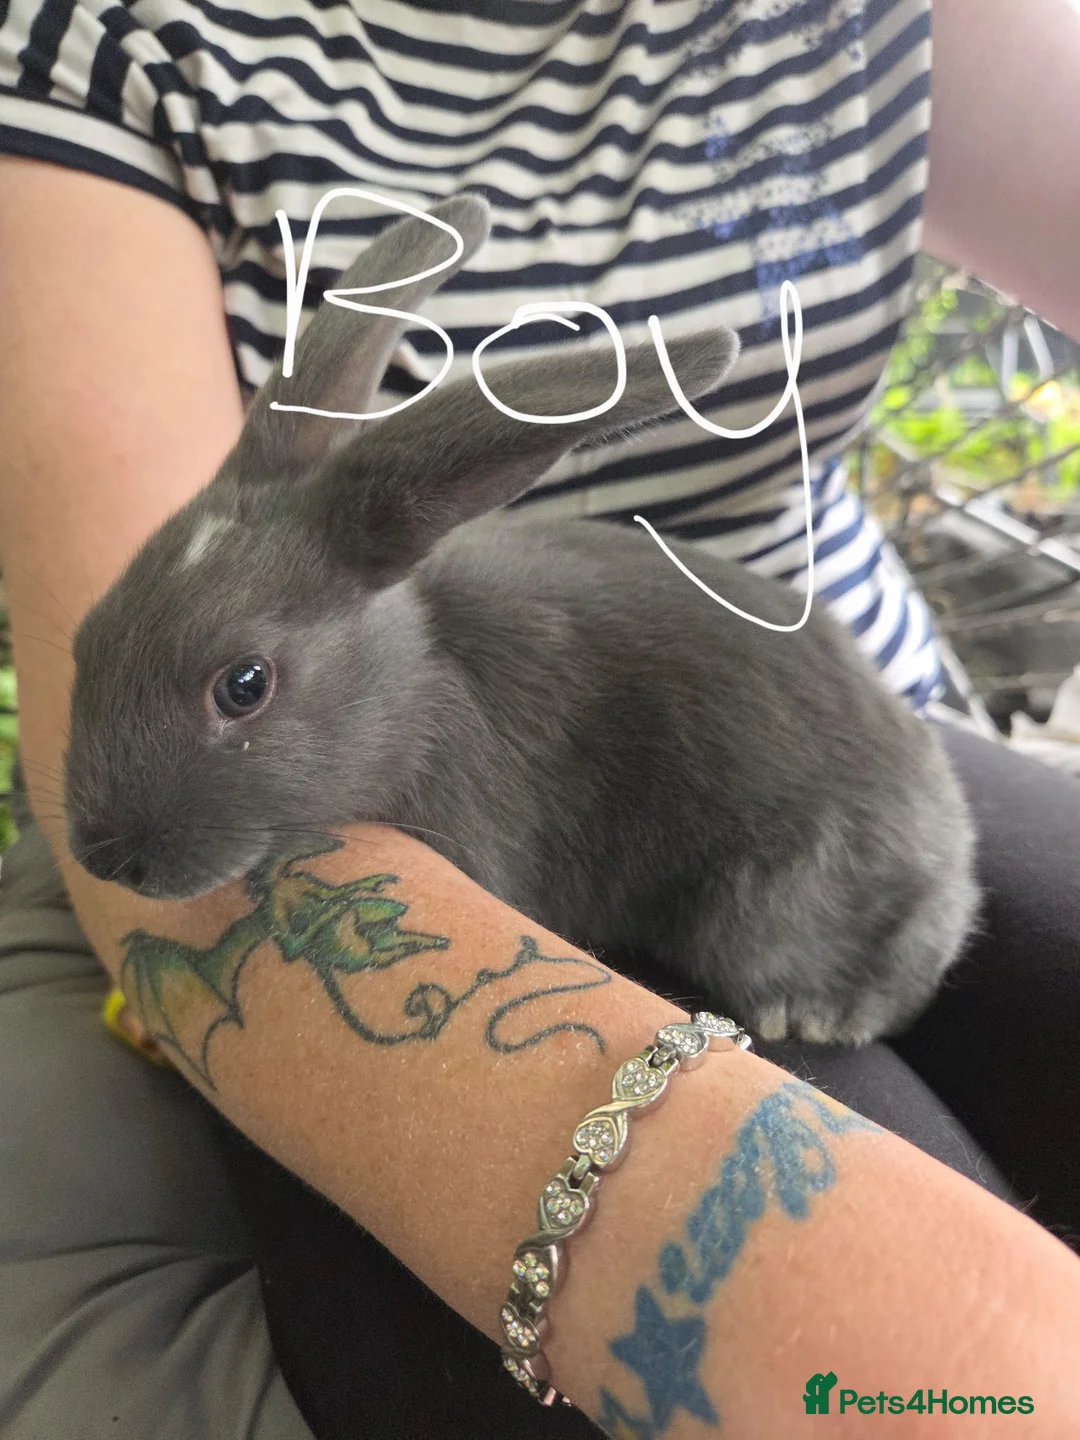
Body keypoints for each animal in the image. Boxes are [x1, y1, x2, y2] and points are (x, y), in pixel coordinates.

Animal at [63, 193, 979, 1045]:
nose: (106, 858)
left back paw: (815, 1012)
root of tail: (952, 856)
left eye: (245, 685)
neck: (419, 684)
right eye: (88, 636)